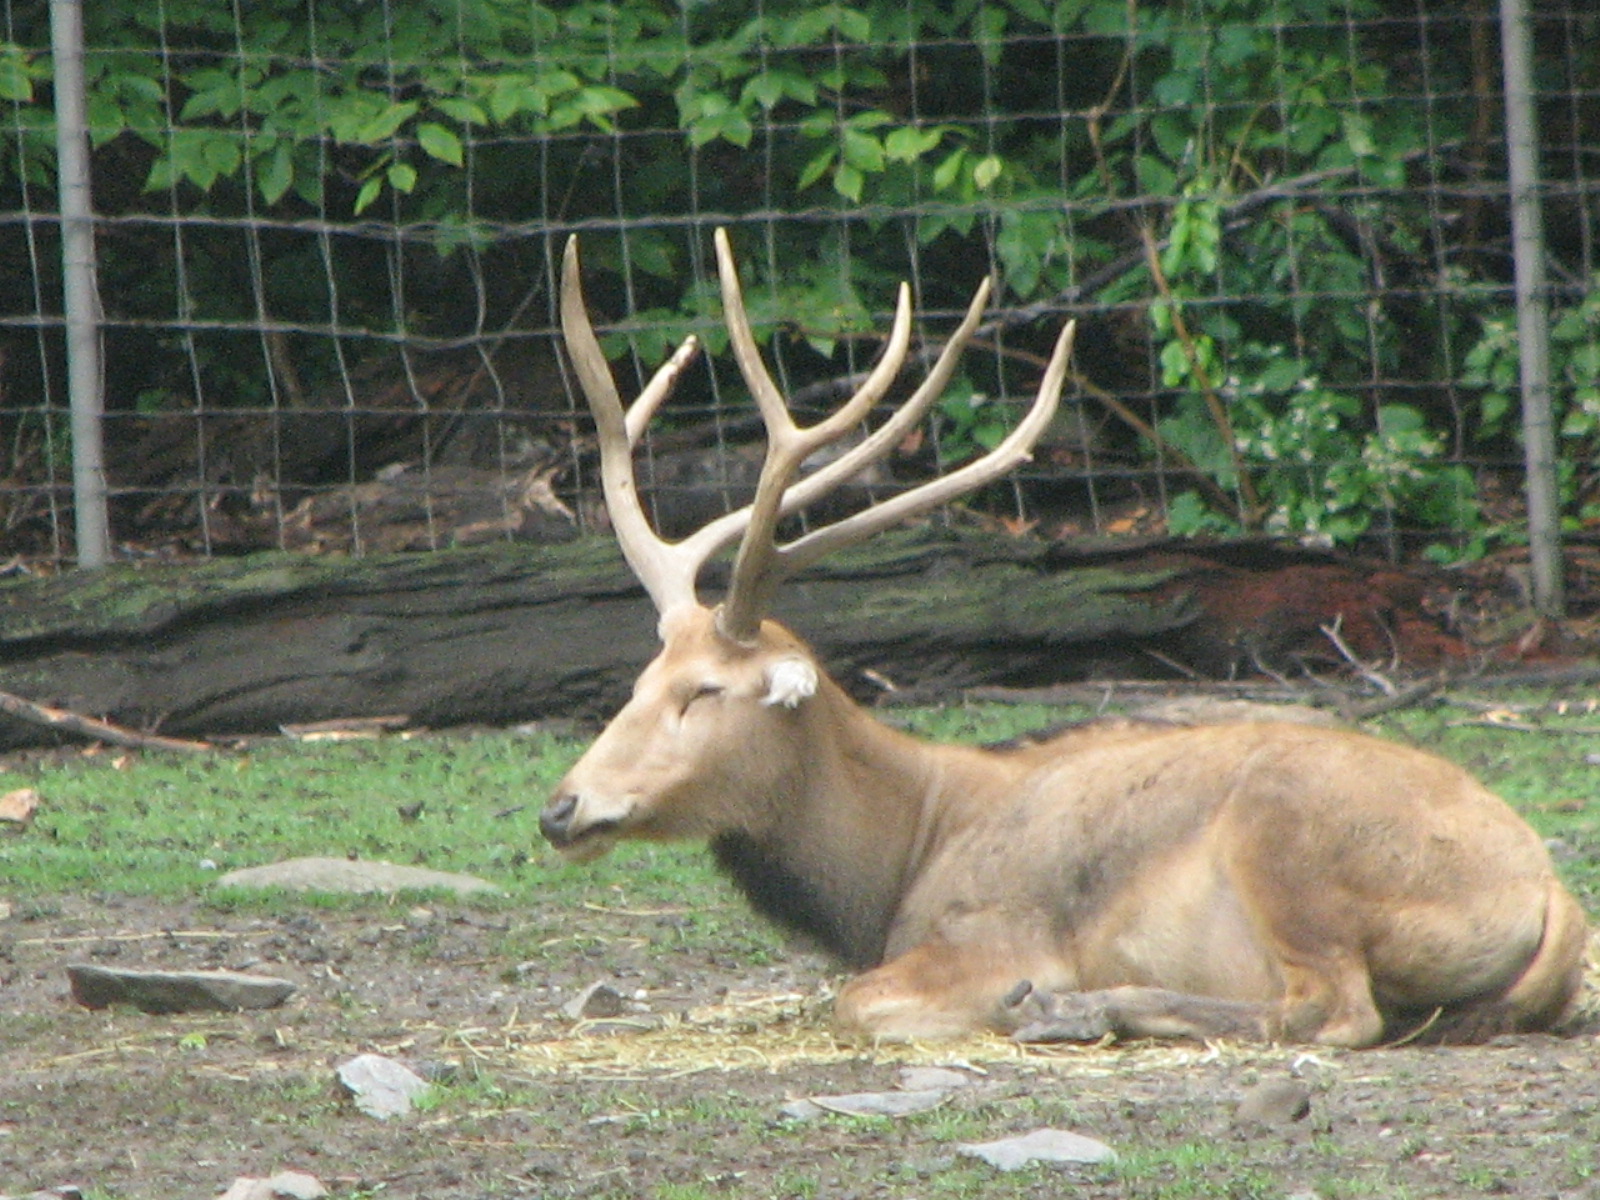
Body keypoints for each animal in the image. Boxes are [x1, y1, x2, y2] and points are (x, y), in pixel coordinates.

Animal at [540, 229, 1589, 1047]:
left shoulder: (993, 936)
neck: (895, 864)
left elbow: (856, 1003)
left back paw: (1074, 1009)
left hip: (1288, 838)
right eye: (641, 679)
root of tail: (1554, 896)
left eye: (705, 690)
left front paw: (1017, 1001)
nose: (561, 806)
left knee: (1332, 1009)